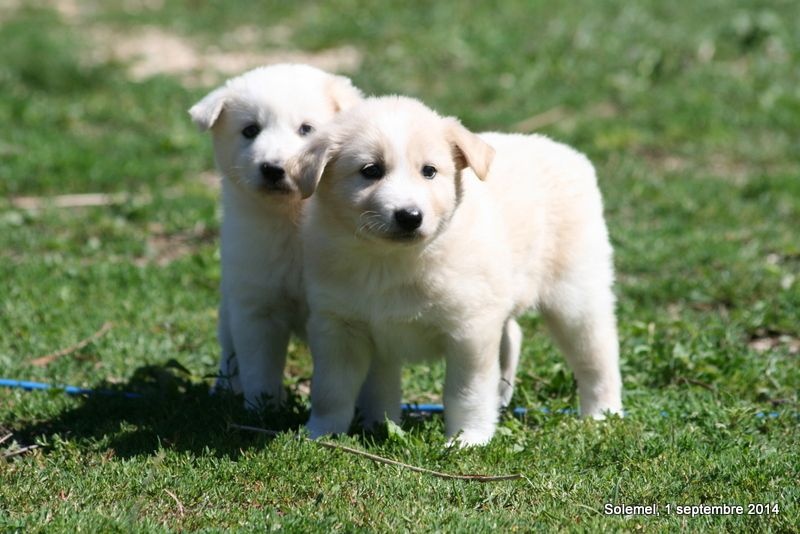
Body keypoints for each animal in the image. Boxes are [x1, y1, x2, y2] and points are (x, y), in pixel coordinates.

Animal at [188, 65, 362, 412]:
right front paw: (261, 410)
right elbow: (259, 367)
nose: (272, 168)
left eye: (306, 129)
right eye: (250, 130)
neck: (290, 220)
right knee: (229, 352)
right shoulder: (256, 306)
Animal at [290, 97, 624, 448]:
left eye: (429, 171)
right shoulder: (338, 326)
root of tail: (568, 153)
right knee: (512, 335)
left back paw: (602, 414)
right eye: (370, 171)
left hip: (576, 295)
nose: (410, 216)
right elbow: (331, 389)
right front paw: (321, 434)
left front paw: (468, 439)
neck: (390, 261)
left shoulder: (469, 331)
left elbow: (466, 392)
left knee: (598, 356)